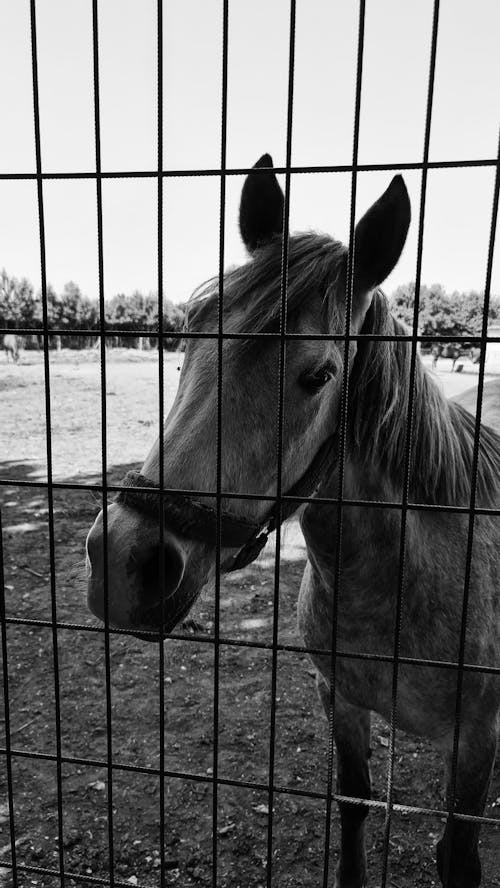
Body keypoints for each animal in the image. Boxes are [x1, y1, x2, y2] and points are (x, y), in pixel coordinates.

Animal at [88, 156, 498, 884]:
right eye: (188, 339)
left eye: (319, 375)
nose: (121, 562)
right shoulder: (342, 701)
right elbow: (355, 804)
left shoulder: (476, 740)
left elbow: (458, 855)